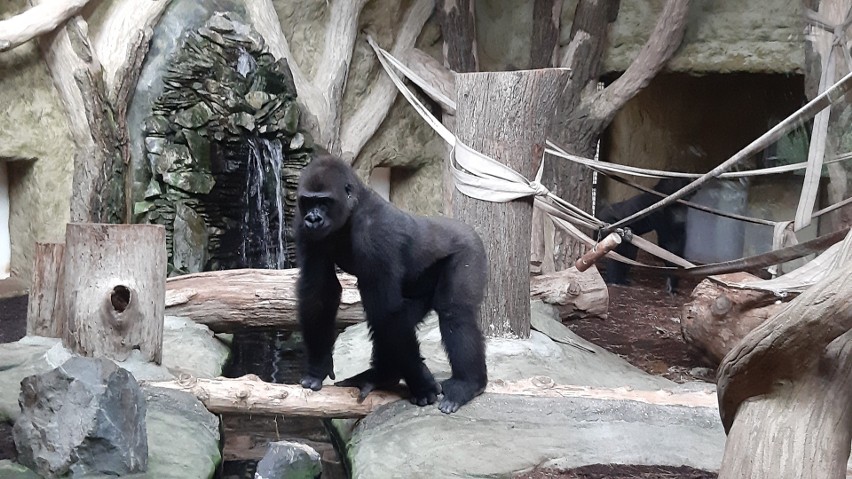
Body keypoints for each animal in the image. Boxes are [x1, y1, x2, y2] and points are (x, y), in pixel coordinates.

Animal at [296, 152, 490, 414]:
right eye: (308, 202)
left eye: (324, 202)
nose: (313, 219)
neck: (354, 208)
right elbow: (319, 292)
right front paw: (318, 366)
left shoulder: (376, 232)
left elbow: (386, 310)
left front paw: (422, 385)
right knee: (398, 321)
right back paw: (383, 375)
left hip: (470, 249)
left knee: (454, 314)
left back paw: (468, 383)